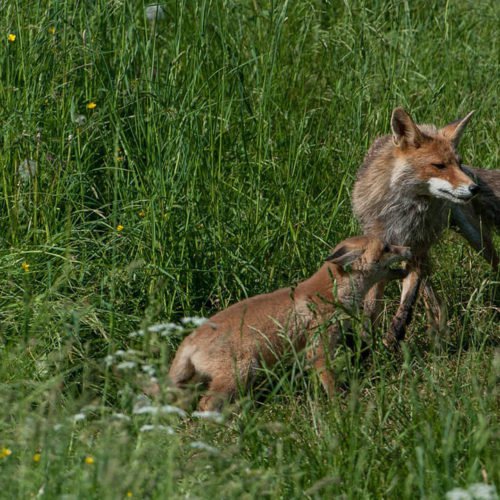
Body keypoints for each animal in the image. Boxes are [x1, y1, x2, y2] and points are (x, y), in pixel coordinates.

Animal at [168, 236, 410, 412]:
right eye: (387, 248)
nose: (408, 249)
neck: (329, 294)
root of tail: (188, 340)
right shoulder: (318, 348)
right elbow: (330, 383)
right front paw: (340, 406)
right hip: (240, 372)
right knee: (205, 404)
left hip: (198, 382)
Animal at [352, 108, 484, 346]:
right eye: (439, 166)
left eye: (459, 164)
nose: (475, 188)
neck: (407, 214)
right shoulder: (379, 249)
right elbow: (371, 305)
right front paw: (367, 342)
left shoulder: (417, 251)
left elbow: (407, 303)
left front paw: (393, 337)